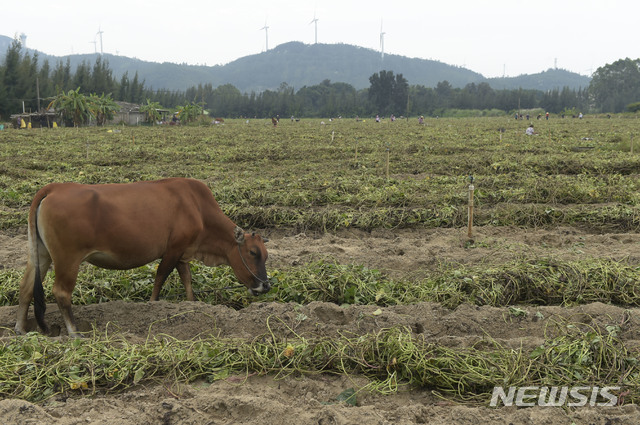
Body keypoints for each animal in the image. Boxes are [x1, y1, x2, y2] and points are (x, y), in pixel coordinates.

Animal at [15, 176, 270, 334]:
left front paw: (192, 305)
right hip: (67, 259)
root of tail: (55, 188)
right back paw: (74, 331)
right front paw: (152, 307)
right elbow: (160, 279)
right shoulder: (172, 250)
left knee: (26, 287)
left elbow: (187, 281)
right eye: (253, 252)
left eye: (266, 255)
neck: (197, 208)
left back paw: (20, 328)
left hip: (40, 253)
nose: (265, 286)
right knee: (61, 292)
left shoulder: (182, 253)